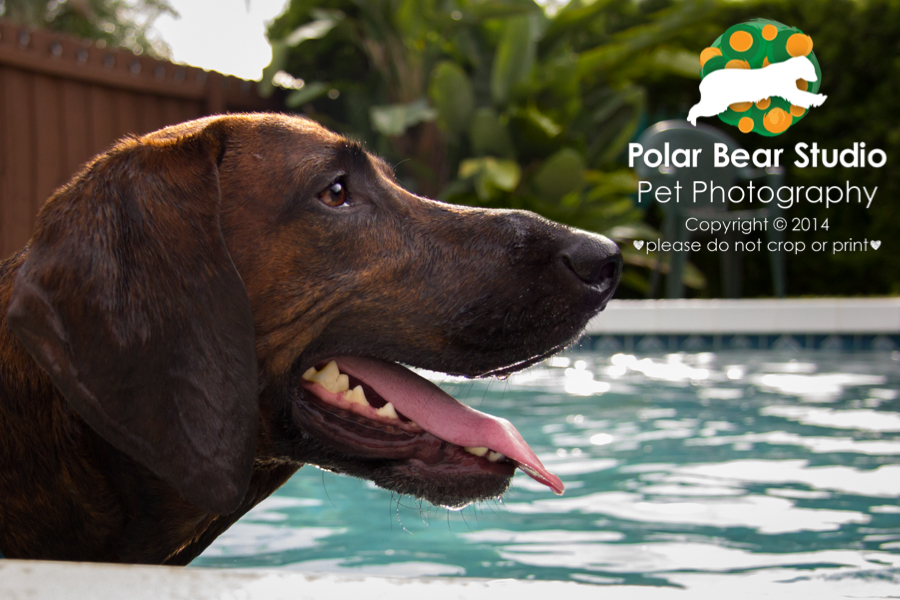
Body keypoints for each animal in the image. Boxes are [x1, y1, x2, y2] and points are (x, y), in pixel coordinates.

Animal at [688, 55, 828, 125]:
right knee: (695, 109)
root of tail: (703, 82)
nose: (817, 78)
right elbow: (804, 96)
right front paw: (818, 99)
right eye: (810, 69)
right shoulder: (789, 91)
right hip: (715, 104)